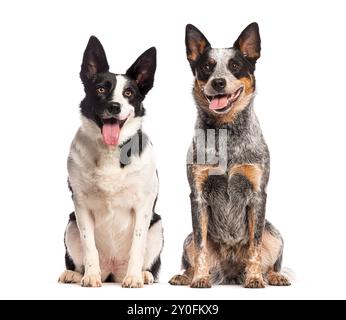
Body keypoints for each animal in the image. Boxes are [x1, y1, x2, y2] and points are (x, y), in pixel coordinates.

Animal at [58, 37, 164, 288]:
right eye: (100, 89)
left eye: (128, 93)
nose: (115, 106)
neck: (110, 151)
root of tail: (113, 271)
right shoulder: (81, 206)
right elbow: (89, 246)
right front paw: (90, 276)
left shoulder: (144, 206)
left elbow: (137, 244)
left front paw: (134, 278)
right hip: (70, 224)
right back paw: (75, 274)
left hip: (157, 226)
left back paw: (143, 275)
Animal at [169, 22, 290, 288]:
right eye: (207, 67)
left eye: (235, 66)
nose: (218, 82)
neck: (225, 133)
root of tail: (231, 272)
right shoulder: (198, 195)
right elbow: (201, 246)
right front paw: (200, 278)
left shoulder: (257, 193)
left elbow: (255, 245)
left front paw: (255, 278)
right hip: (186, 239)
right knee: (191, 254)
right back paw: (186, 276)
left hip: (275, 235)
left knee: (271, 260)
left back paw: (274, 276)